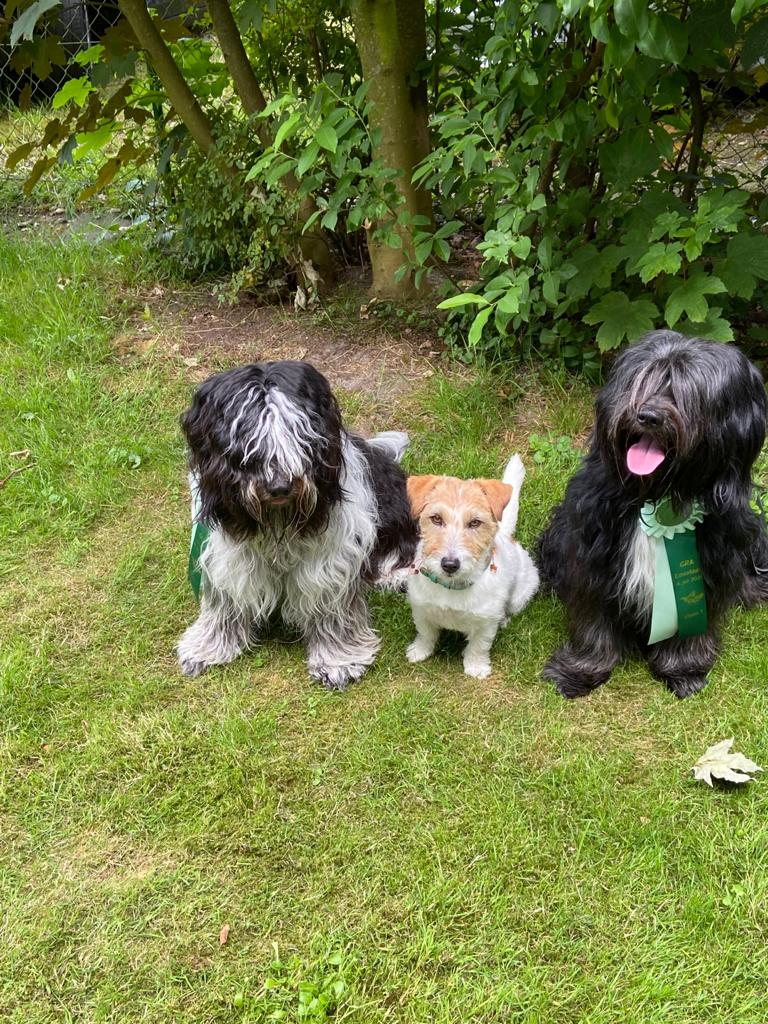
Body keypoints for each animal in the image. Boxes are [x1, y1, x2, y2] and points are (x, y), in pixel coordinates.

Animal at [177, 358, 417, 688]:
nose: (279, 487)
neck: (277, 522)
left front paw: (337, 660)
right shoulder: (226, 552)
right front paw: (208, 646)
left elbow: (329, 606)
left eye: (300, 437)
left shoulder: (330, 558)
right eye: (245, 446)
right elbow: (225, 602)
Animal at [536, 331, 768, 700]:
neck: (655, 492)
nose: (647, 416)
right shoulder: (592, 557)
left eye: (688, 392)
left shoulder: (709, 566)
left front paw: (683, 670)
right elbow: (593, 623)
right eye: (644, 380)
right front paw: (577, 672)